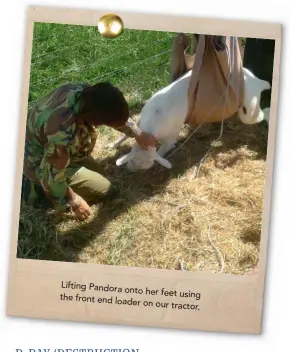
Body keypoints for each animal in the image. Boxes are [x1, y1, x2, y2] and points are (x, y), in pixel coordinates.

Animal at [113, 66, 272, 172]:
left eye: (142, 163)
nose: (130, 170)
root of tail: (254, 79)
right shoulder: (140, 120)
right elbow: (127, 131)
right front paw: (113, 144)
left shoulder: (170, 137)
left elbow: (163, 152)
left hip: (249, 107)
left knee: (259, 114)